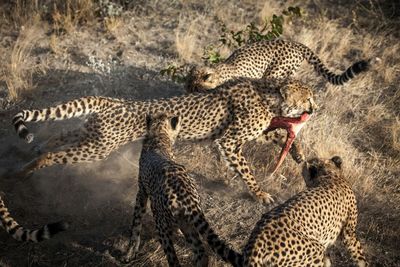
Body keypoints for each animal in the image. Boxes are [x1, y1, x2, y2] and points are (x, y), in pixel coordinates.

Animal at [12, 79, 318, 203]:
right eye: (307, 98)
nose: (314, 109)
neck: (269, 93)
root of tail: (112, 101)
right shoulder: (230, 140)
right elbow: (247, 171)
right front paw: (260, 194)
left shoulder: (253, 129)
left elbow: (275, 133)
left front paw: (300, 154)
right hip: (97, 148)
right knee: (54, 155)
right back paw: (25, 171)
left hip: (91, 135)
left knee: (57, 137)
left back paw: (34, 150)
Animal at [123, 114, 242, 266]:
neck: (159, 135)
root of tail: (187, 197)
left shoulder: (142, 192)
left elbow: (136, 222)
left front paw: (130, 252)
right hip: (188, 225)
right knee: (201, 252)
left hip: (162, 225)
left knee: (173, 258)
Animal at [239, 156, 368, 266]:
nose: (302, 163)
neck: (329, 175)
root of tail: (258, 241)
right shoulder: (348, 233)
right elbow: (358, 252)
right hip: (315, 250)